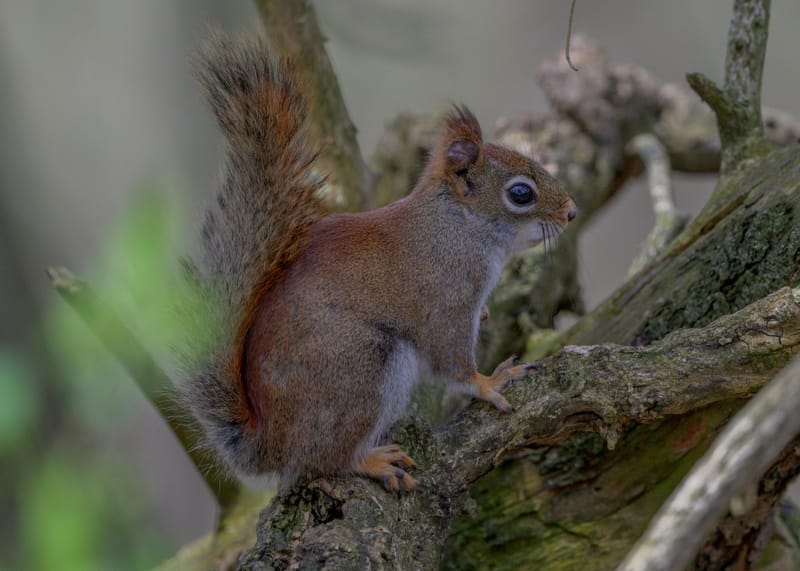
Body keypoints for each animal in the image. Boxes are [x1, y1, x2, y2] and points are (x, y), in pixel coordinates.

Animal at [183, 33, 577, 493]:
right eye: (520, 194)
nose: (571, 212)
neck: (458, 226)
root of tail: (267, 445)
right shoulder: (445, 295)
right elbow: (451, 358)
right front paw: (487, 382)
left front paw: (486, 320)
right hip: (361, 371)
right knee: (325, 461)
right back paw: (371, 462)